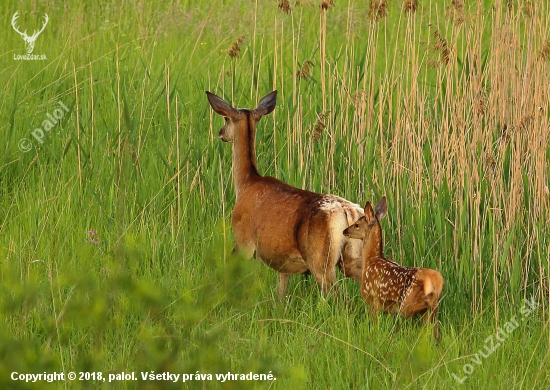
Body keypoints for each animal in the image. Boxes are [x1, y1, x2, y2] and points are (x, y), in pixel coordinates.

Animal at [207, 90, 366, 298]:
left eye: (226, 118)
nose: (220, 133)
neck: (246, 183)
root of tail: (348, 212)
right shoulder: (282, 263)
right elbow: (280, 295)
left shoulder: (244, 242)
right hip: (354, 257)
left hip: (320, 259)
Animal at [348, 197, 446, 340]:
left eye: (356, 224)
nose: (345, 231)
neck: (371, 259)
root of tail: (435, 280)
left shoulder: (372, 300)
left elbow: (375, 325)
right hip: (431, 309)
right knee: (435, 332)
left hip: (407, 304)